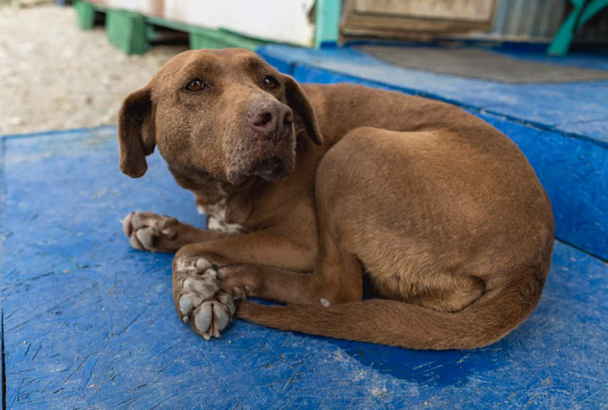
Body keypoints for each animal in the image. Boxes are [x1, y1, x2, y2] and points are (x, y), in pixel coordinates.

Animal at [119, 48, 556, 350]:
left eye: (270, 82)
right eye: (195, 85)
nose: (278, 118)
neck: (222, 189)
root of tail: (533, 264)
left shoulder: (300, 241)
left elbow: (197, 247)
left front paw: (196, 286)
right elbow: (212, 233)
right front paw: (162, 229)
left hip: (350, 152)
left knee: (334, 292)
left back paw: (233, 278)